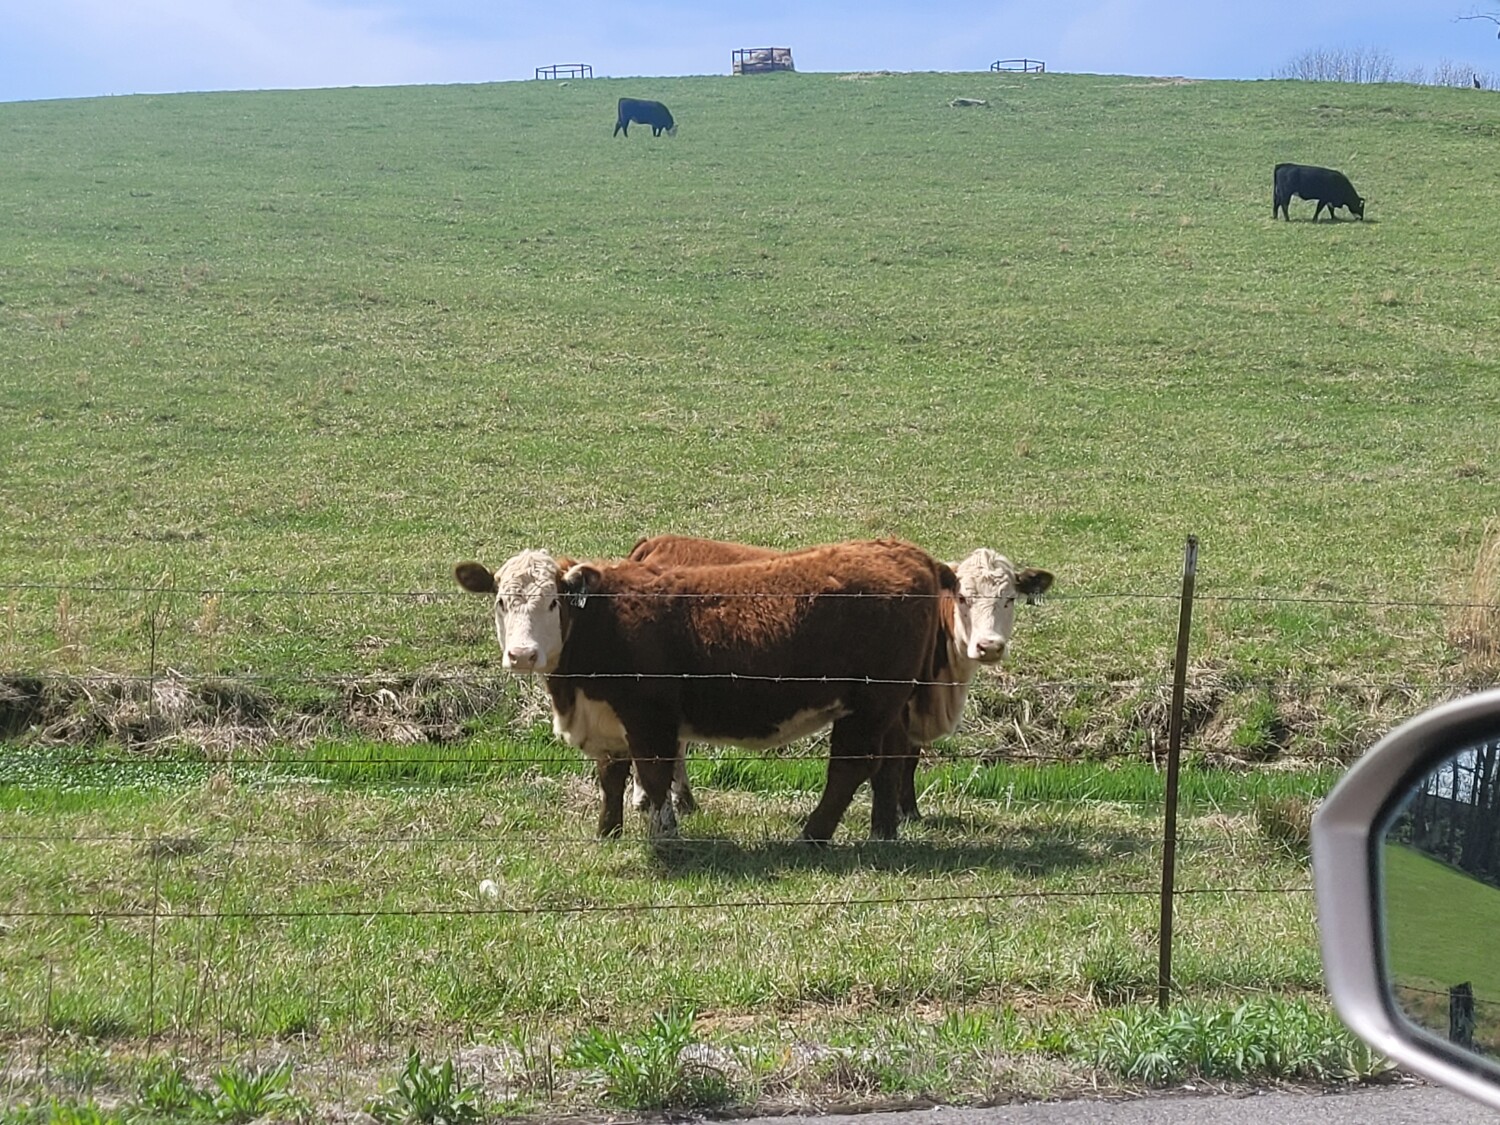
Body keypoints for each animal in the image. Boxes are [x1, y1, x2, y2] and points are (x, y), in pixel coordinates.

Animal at [454, 539, 955, 842]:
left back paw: (813, 835)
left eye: (553, 602)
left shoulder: (650, 718)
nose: (522, 654)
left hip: (869, 703)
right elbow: (611, 777)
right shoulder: (607, 719)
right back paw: (883, 831)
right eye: (501, 600)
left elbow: (654, 775)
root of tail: (902, 550)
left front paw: (664, 834)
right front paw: (608, 831)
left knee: (851, 767)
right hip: (890, 704)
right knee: (890, 761)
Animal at [625, 535, 1054, 821]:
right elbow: (901, 758)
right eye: (964, 597)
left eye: (1010, 598)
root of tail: (657, 542)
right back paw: (656, 798)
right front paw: (905, 812)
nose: (989, 646)